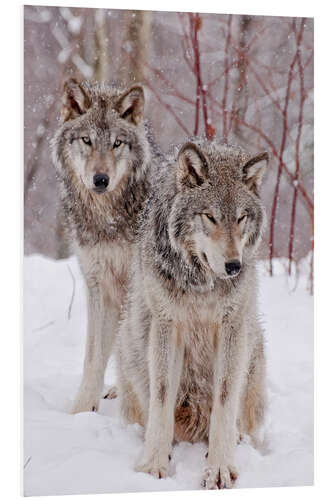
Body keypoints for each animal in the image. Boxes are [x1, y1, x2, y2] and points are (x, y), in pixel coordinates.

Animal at [50, 79, 162, 414]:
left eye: (117, 143)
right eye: (87, 140)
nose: (101, 179)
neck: (107, 220)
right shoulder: (97, 282)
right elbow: (93, 356)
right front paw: (82, 409)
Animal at [115, 138, 268, 488]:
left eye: (241, 218)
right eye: (210, 217)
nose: (234, 266)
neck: (202, 285)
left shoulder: (232, 327)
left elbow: (225, 400)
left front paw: (219, 468)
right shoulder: (167, 325)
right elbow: (161, 396)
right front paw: (154, 465)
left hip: (254, 351)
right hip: (128, 344)